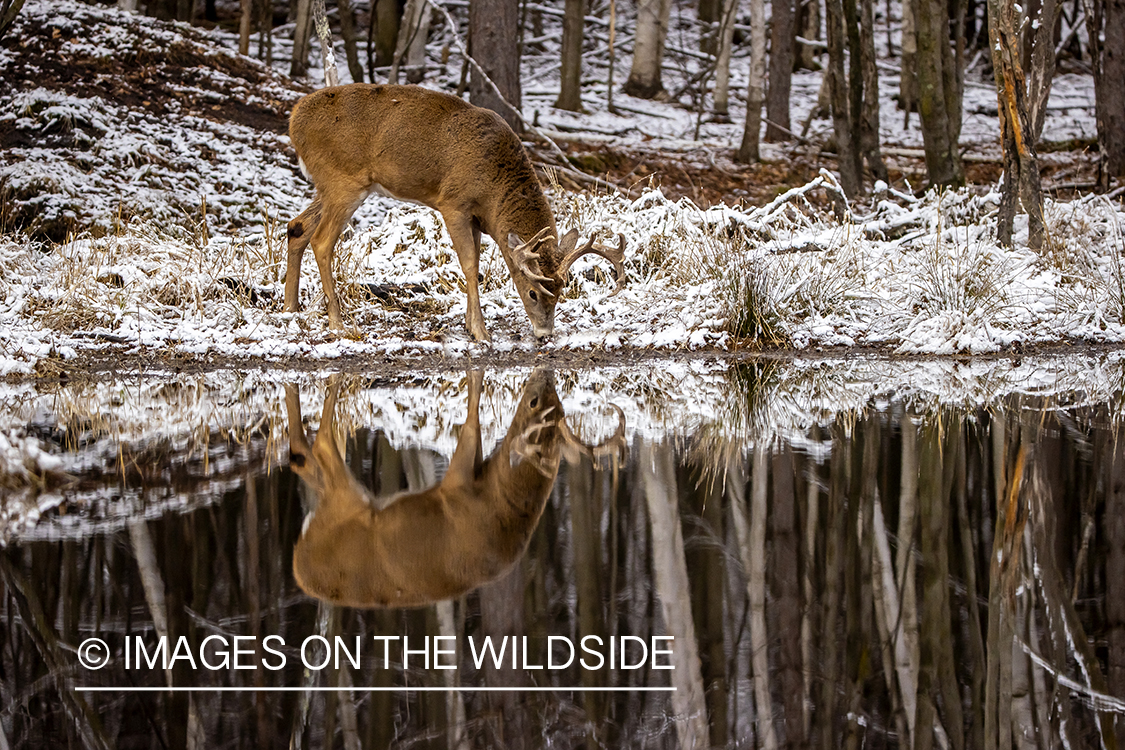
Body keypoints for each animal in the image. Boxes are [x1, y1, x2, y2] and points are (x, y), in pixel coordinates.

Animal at [285, 86, 630, 346]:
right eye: (533, 292)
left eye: (560, 291)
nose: (545, 334)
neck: (494, 187)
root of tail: (294, 119)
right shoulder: (453, 204)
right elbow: (470, 265)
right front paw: (480, 332)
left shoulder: (477, 217)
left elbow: (474, 261)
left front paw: (468, 323)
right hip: (344, 181)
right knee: (322, 240)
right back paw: (337, 323)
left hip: (331, 186)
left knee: (296, 227)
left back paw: (290, 308)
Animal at [285, 368, 630, 611]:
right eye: (533, 403)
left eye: (558, 405)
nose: (542, 381)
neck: (496, 505)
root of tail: (299, 565)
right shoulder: (456, 488)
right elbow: (472, 421)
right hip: (344, 502)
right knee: (322, 444)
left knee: (309, 459)